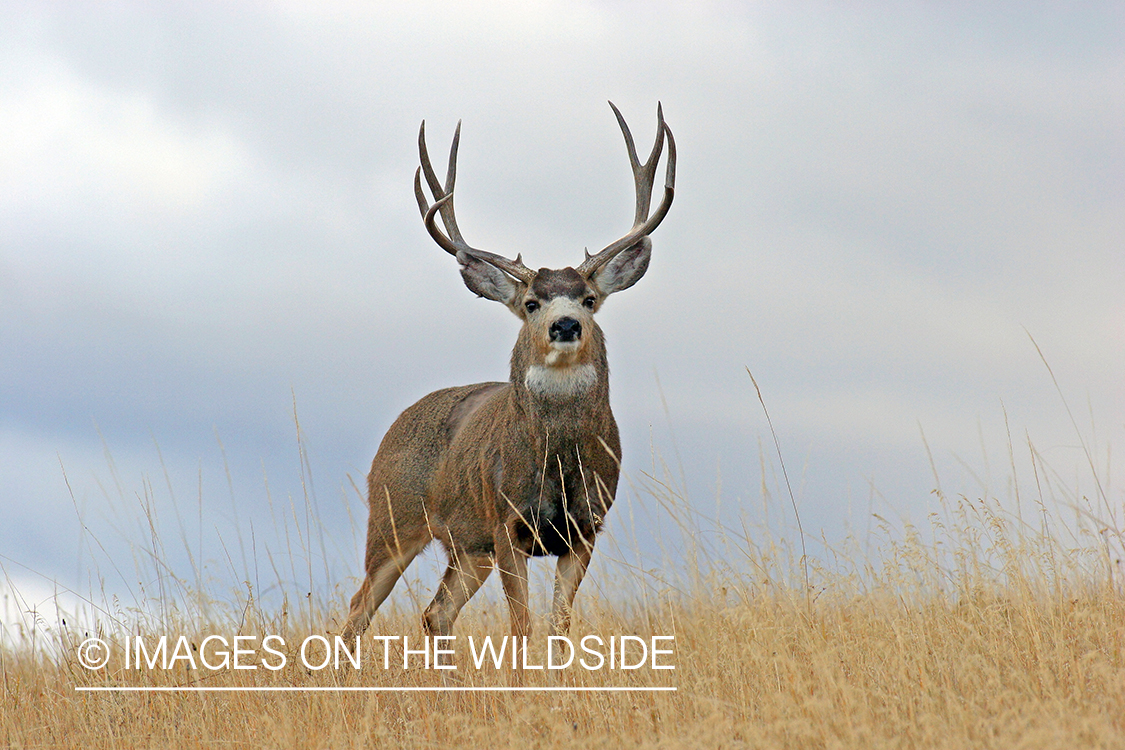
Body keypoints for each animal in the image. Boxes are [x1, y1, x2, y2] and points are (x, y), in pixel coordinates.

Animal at [341, 103, 675, 650]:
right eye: (532, 303)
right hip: (394, 518)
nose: (566, 325)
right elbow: (522, 628)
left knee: (435, 613)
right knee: (356, 611)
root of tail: (393, 429)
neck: (558, 458)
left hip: (466, 546)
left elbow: (559, 627)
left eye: (589, 299)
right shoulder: (507, 523)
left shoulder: (585, 528)